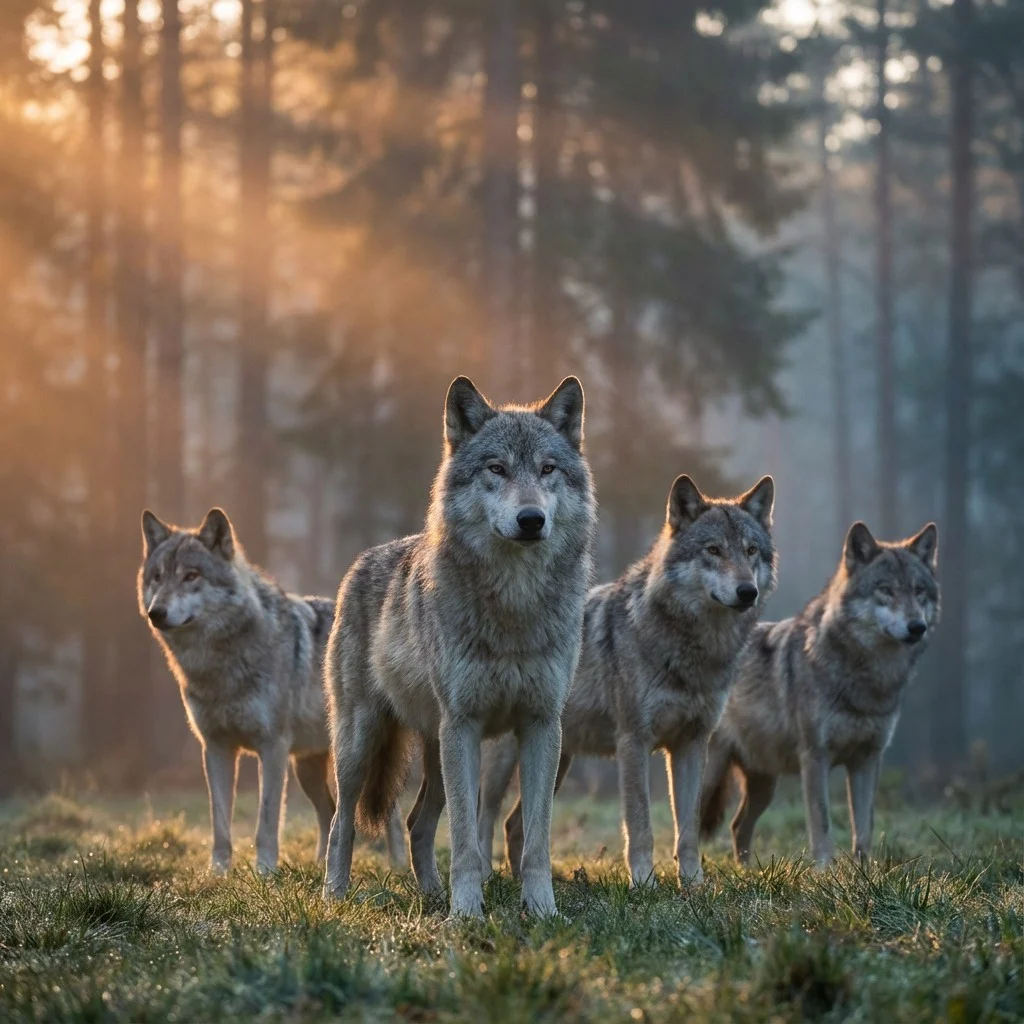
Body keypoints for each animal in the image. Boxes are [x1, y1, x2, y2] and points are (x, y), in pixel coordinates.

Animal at [137, 507, 407, 874]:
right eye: (157, 577)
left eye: (191, 576)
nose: (156, 613)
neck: (220, 666)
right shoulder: (216, 749)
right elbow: (219, 823)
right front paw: (218, 873)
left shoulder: (272, 748)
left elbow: (266, 822)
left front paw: (265, 872)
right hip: (307, 769)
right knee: (328, 813)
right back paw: (319, 865)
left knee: (390, 817)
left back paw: (399, 869)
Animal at [322, 376, 596, 918]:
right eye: (497, 469)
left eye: (547, 469)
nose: (531, 519)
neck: (514, 605)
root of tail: (359, 563)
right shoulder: (465, 725)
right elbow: (468, 842)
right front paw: (466, 914)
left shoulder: (541, 726)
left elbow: (535, 841)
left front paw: (543, 912)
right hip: (364, 743)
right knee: (342, 822)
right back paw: (335, 896)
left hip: (436, 748)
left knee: (416, 823)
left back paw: (429, 894)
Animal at [478, 473, 777, 888]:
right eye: (714, 550)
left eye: (750, 551)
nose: (747, 591)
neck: (693, 650)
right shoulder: (634, 742)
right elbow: (641, 825)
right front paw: (644, 883)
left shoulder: (692, 744)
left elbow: (688, 829)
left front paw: (694, 886)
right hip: (506, 761)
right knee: (484, 817)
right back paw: (486, 878)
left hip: (556, 760)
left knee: (514, 826)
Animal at [700, 520, 939, 868]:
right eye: (886, 590)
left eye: (919, 591)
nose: (917, 626)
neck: (867, 680)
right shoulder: (815, 758)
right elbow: (822, 822)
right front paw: (825, 871)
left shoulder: (868, 760)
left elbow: (864, 826)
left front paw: (863, 871)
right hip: (710, 773)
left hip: (764, 783)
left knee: (737, 825)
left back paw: (746, 871)